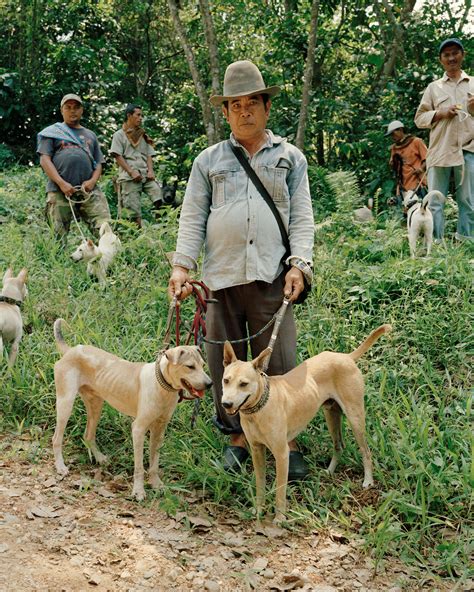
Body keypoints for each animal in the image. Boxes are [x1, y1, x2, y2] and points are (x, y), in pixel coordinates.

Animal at [52, 320, 213, 500]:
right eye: (190, 366)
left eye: (203, 365)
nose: (210, 384)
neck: (162, 385)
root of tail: (70, 350)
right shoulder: (138, 429)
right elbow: (139, 466)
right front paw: (138, 491)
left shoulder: (159, 429)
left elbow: (154, 463)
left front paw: (156, 484)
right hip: (65, 403)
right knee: (56, 438)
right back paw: (60, 466)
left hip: (96, 405)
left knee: (88, 436)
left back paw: (99, 458)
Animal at [222, 324, 392, 524]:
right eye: (226, 380)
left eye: (244, 384)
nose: (226, 404)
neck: (258, 409)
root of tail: (346, 357)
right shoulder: (257, 450)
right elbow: (260, 484)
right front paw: (258, 510)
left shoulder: (281, 454)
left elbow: (280, 490)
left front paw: (280, 517)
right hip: (331, 414)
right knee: (339, 445)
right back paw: (329, 471)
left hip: (355, 418)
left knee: (366, 451)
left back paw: (368, 481)